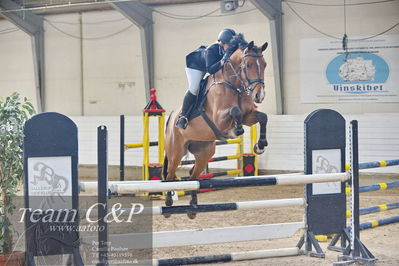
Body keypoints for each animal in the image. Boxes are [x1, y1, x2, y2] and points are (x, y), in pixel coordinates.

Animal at [162, 39, 268, 218]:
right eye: (248, 65)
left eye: (265, 64)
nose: (259, 96)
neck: (234, 85)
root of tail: (171, 118)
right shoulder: (219, 119)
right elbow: (235, 111)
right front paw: (236, 130)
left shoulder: (248, 116)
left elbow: (263, 117)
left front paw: (260, 146)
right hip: (176, 151)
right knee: (169, 175)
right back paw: (169, 204)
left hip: (205, 152)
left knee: (193, 176)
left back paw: (192, 208)